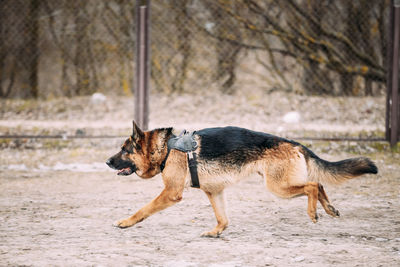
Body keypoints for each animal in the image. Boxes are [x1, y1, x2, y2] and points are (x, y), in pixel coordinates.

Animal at [106, 120, 378, 238]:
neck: (166, 149)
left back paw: (313, 212)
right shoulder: (214, 192)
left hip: (278, 187)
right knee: (319, 184)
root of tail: (292, 142)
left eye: (124, 150)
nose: (107, 162)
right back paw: (329, 208)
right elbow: (222, 217)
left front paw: (126, 222)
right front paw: (217, 231)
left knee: (312, 185)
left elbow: (144, 209)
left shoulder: (170, 193)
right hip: (282, 184)